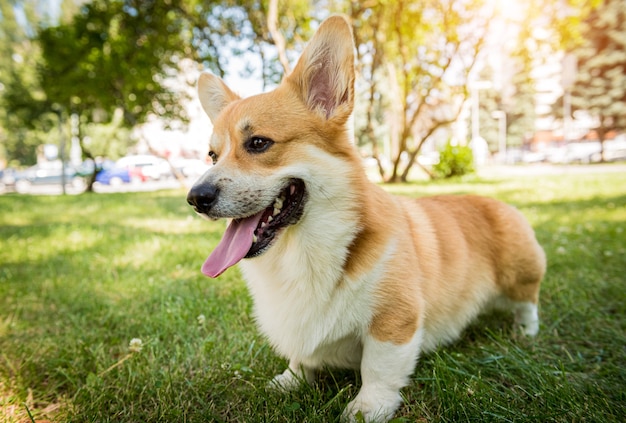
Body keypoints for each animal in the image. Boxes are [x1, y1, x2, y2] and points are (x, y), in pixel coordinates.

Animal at [185, 14, 540, 422]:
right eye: (212, 155)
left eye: (258, 143)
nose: (196, 198)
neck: (303, 253)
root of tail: (493, 200)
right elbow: (301, 357)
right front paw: (291, 379)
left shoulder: (395, 320)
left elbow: (379, 367)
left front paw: (367, 408)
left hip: (522, 272)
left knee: (528, 303)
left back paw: (525, 331)